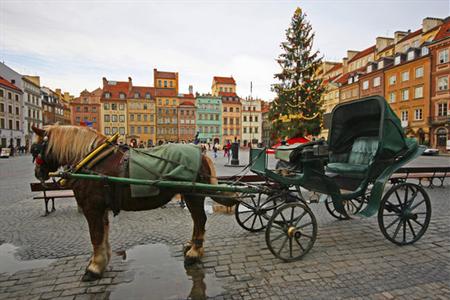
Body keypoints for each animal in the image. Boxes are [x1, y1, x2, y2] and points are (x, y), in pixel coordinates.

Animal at [30, 124, 236, 282]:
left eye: (34, 149)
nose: (38, 173)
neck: (92, 161)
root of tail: (201, 153)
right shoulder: (100, 209)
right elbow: (103, 235)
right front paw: (102, 260)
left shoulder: (92, 208)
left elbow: (95, 236)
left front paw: (94, 268)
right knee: (197, 220)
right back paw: (192, 246)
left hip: (193, 195)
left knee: (200, 220)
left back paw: (194, 252)